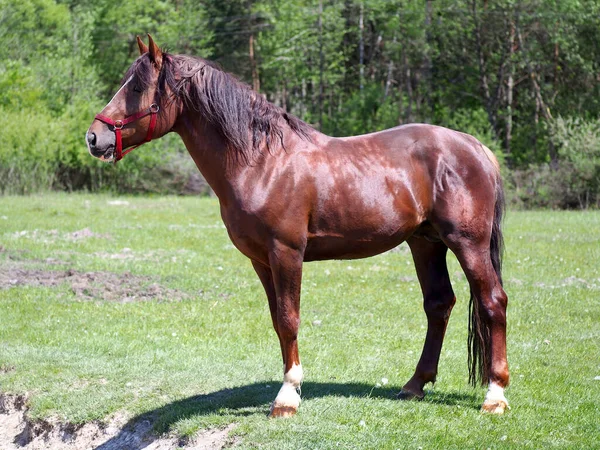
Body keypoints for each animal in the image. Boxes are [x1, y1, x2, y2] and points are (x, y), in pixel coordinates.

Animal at [86, 35, 510, 418]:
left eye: (136, 87)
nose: (94, 137)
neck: (260, 160)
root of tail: (476, 147)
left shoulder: (286, 253)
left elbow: (290, 319)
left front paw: (287, 397)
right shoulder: (261, 260)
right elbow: (278, 321)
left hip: (467, 243)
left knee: (493, 302)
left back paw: (495, 395)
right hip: (425, 244)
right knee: (439, 305)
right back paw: (415, 385)